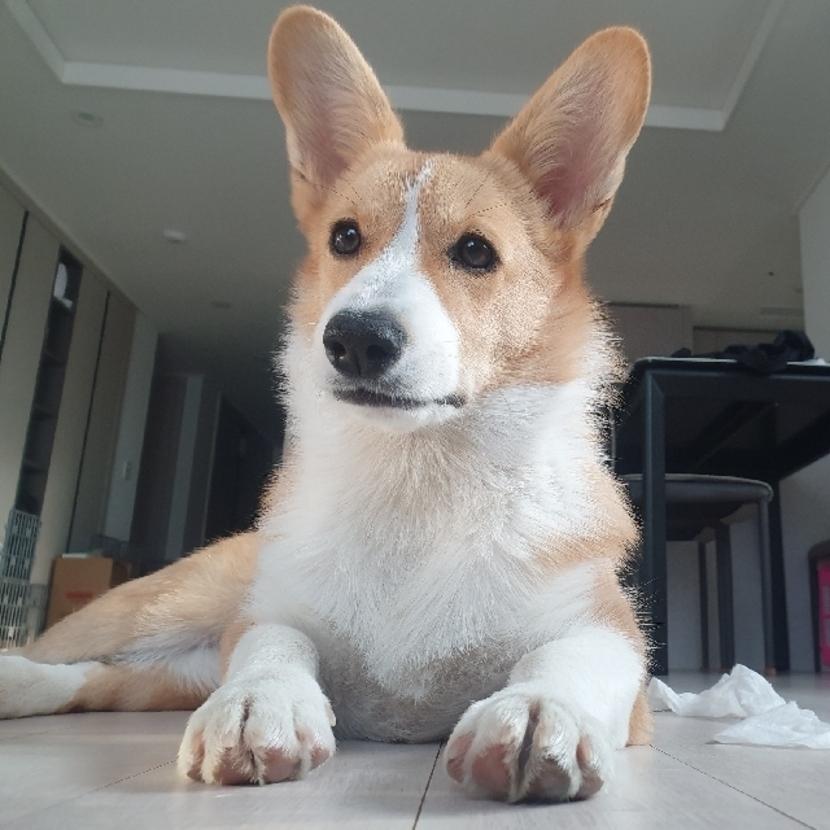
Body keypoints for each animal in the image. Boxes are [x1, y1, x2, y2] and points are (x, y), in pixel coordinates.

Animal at [0, 5, 652, 803]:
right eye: (345, 237)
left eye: (475, 252)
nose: (356, 340)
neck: (418, 480)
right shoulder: (267, 617)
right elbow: (273, 645)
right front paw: (263, 701)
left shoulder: (609, 635)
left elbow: (571, 660)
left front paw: (537, 708)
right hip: (162, 609)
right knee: (72, 657)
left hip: (175, 670)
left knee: (101, 684)